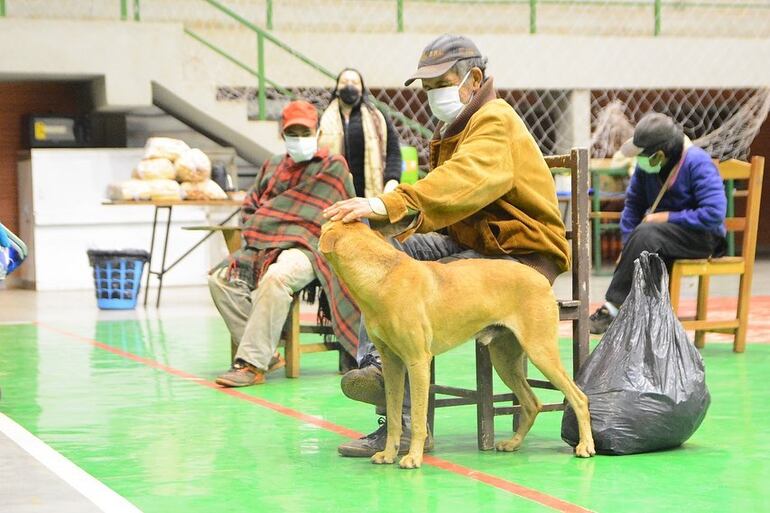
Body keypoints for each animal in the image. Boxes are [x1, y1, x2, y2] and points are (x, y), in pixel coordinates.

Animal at [318, 220, 592, 468]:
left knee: (578, 397)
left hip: (541, 351)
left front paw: (413, 458)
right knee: (532, 403)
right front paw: (387, 454)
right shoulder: (391, 362)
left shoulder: (417, 361)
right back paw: (513, 443)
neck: (383, 276)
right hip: (503, 359)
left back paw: (585, 446)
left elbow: (418, 417)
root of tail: (541, 279)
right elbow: (395, 415)